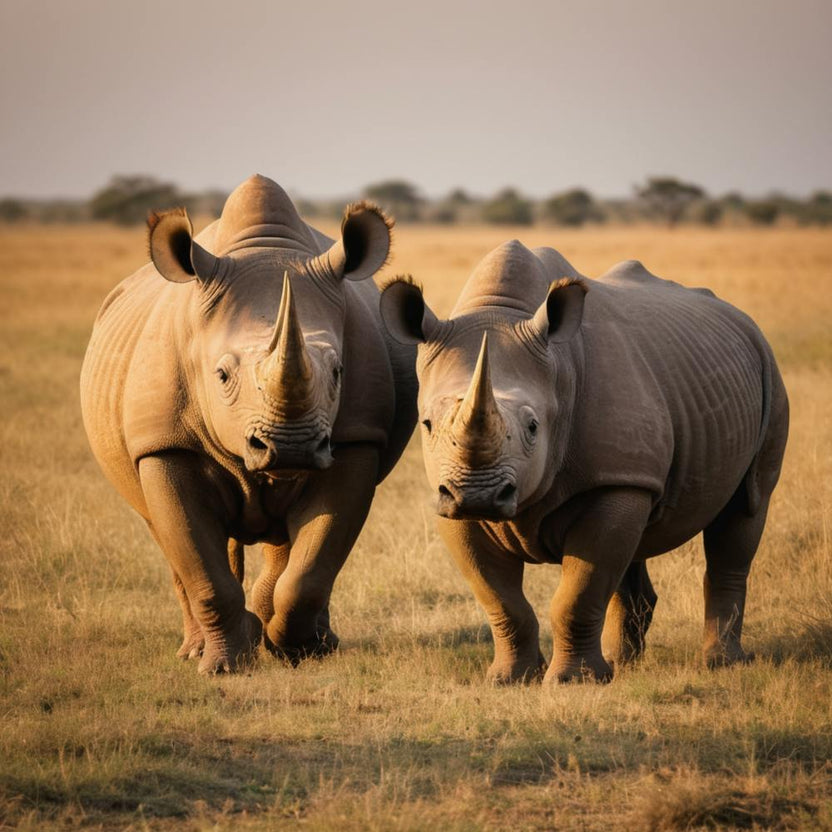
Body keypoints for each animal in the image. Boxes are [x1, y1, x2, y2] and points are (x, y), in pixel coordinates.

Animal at [81, 175, 416, 674]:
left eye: (338, 372)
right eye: (221, 376)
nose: (290, 446)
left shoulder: (357, 439)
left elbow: (311, 568)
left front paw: (291, 650)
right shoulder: (164, 444)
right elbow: (201, 567)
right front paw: (222, 665)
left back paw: (306, 639)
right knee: (162, 532)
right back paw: (195, 649)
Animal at [380, 241, 788, 684]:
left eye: (533, 427)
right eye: (427, 424)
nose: (479, 495)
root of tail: (744, 321)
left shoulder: (613, 479)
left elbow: (578, 593)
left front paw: (572, 682)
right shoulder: (447, 495)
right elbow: (500, 598)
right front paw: (509, 679)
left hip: (768, 372)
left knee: (746, 507)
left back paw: (720, 664)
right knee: (634, 545)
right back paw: (621, 664)